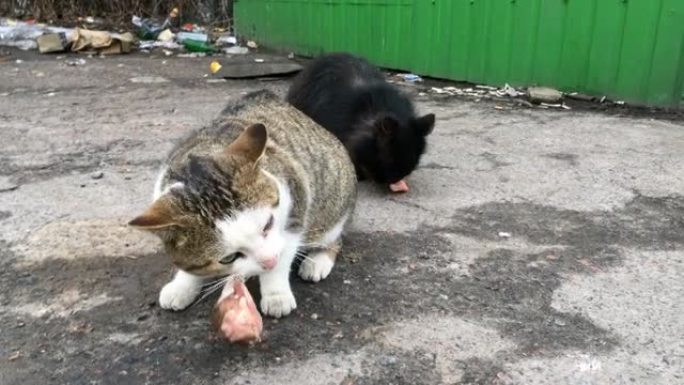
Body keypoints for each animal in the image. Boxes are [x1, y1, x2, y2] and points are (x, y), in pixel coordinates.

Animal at [127, 91, 358, 318]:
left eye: (268, 225)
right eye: (228, 258)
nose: (268, 262)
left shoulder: (296, 202)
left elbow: (284, 251)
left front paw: (276, 294)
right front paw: (182, 285)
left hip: (333, 204)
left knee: (333, 236)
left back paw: (318, 260)